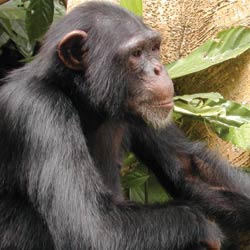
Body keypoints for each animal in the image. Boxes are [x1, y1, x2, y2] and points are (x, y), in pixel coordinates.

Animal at [0, 1, 250, 250]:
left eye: (154, 48)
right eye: (136, 53)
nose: (158, 69)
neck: (82, 98)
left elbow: (190, 169)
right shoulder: (38, 108)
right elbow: (95, 229)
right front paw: (204, 226)